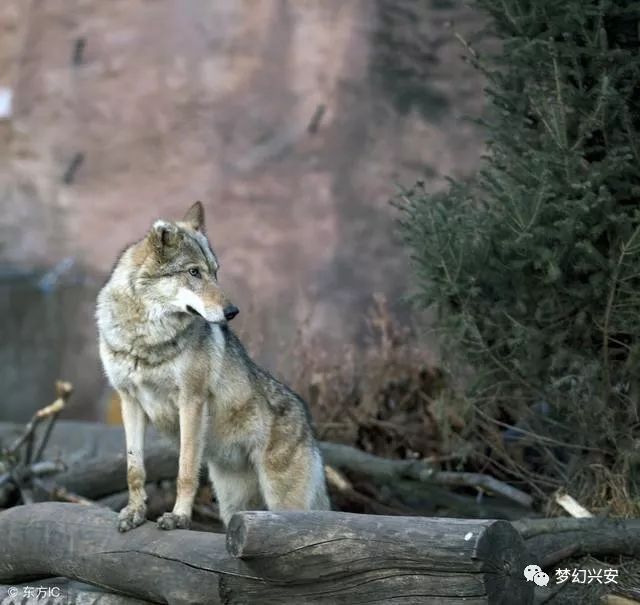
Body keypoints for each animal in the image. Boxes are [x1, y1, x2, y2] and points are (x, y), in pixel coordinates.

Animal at [96, 202, 330, 528]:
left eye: (215, 273)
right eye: (194, 272)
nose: (232, 312)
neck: (146, 339)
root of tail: (308, 422)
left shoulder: (191, 401)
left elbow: (185, 470)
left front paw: (179, 517)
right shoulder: (129, 401)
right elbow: (134, 469)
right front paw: (135, 512)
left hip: (283, 503)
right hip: (233, 505)